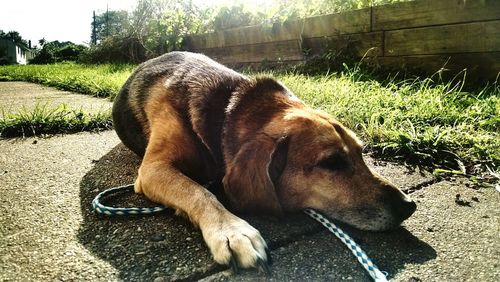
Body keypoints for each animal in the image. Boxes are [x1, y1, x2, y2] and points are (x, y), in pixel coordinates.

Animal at [111, 51, 416, 270]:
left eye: (361, 153)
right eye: (332, 162)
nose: (409, 205)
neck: (228, 108)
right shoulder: (152, 170)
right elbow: (199, 191)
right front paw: (232, 230)